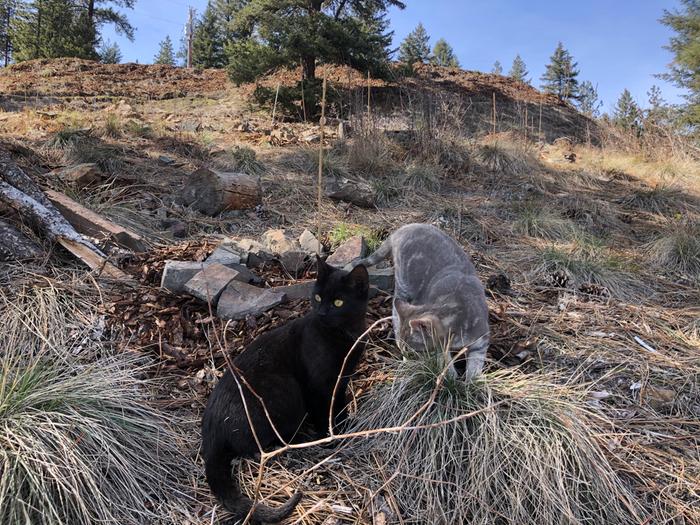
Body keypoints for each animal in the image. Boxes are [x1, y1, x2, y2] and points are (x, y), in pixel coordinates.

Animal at [200, 256, 370, 520]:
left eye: (338, 302)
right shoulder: (318, 384)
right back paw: (297, 440)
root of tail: (211, 429)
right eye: (318, 297)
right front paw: (330, 437)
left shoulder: (342, 380)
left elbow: (339, 405)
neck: (345, 336)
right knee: (252, 446)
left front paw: (344, 425)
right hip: (286, 388)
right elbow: (323, 412)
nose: (321, 312)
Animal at [348, 223, 486, 378]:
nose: (406, 354)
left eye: (412, 349)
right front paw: (451, 377)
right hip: (402, 286)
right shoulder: (440, 348)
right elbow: (445, 360)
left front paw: (470, 381)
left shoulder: (481, 342)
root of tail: (403, 229)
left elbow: (475, 365)